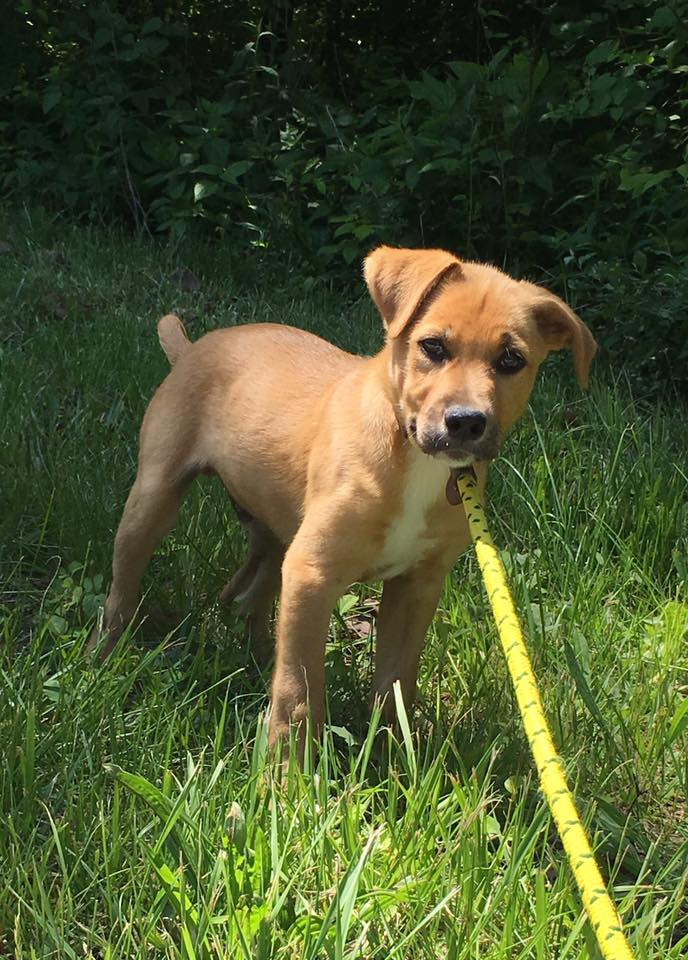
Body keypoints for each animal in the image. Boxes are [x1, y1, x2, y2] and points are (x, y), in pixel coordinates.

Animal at [90, 244, 596, 748]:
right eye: (433, 346)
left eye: (512, 360)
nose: (466, 422)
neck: (411, 457)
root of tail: (193, 348)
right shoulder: (313, 574)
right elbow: (298, 693)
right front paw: (289, 768)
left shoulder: (416, 586)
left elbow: (396, 683)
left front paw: (393, 755)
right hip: (154, 498)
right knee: (122, 593)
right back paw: (105, 661)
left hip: (275, 533)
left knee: (248, 596)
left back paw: (253, 658)